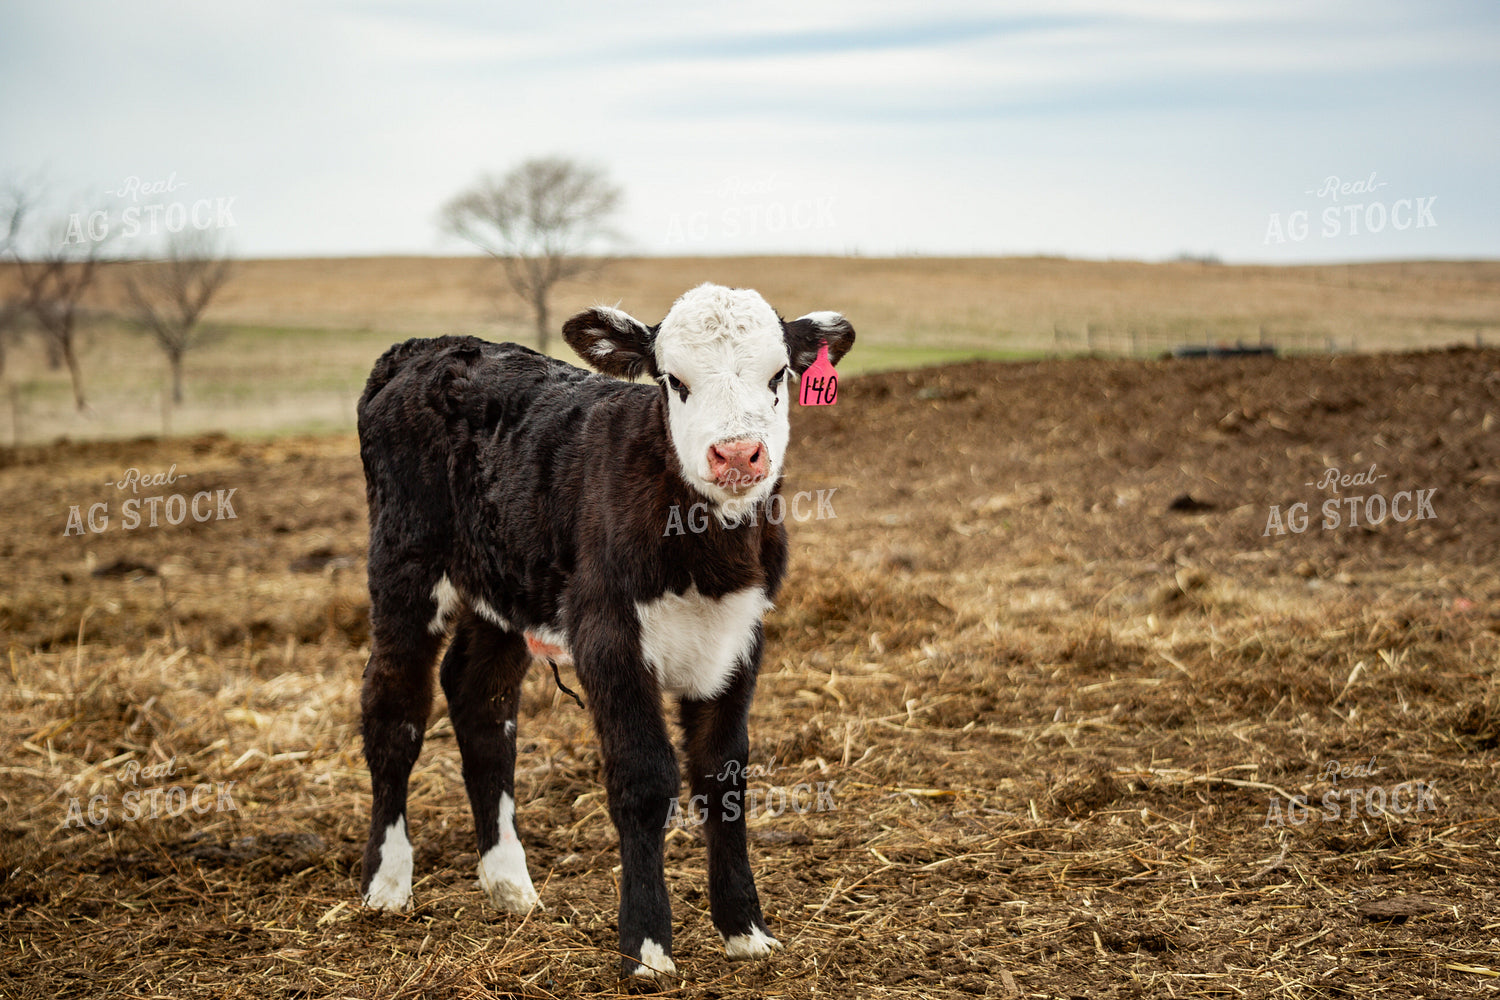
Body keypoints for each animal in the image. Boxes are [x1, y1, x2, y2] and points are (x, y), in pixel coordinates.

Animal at [354, 283, 855, 981]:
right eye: (673, 381)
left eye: (778, 373)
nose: (735, 453)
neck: (702, 551)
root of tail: (423, 348)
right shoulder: (607, 634)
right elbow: (645, 779)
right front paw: (646, 947)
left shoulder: (740, 635)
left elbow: (723, 772)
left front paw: (745, 930)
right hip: (405, 568)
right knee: (395, 706)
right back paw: (387, 882)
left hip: (506, 582)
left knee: (479, 698)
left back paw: (510, 885)